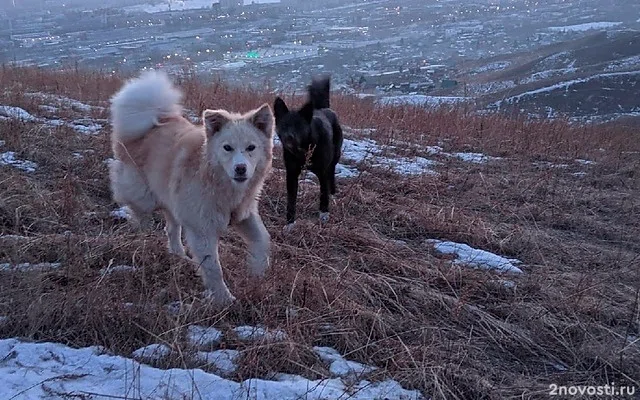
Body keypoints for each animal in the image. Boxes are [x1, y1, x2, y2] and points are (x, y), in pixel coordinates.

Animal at [108, 70, 272, 304]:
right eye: (227, 148)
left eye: (251, 148)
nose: (240, 169)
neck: (219, 184)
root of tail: (152, 122)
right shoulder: (201, 229)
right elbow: (213, 268)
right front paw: (224, 299)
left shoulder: (244, 214)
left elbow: (262, 241)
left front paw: (257, 272)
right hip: (144, 195)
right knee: (137, 208)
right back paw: (143, 231)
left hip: (173, 202)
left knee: (171, 229)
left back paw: (180, 256)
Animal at [276, 75, 344, 225]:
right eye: (284, 125)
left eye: (299, 125)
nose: (289, 137)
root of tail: (324, 108)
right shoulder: (291, 174)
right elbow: (291, 200)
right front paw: (290, 223)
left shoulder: (322, 172)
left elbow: (323, 194)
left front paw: (324, 215)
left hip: (335, 157)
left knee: (331, 174)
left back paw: (333, 193)